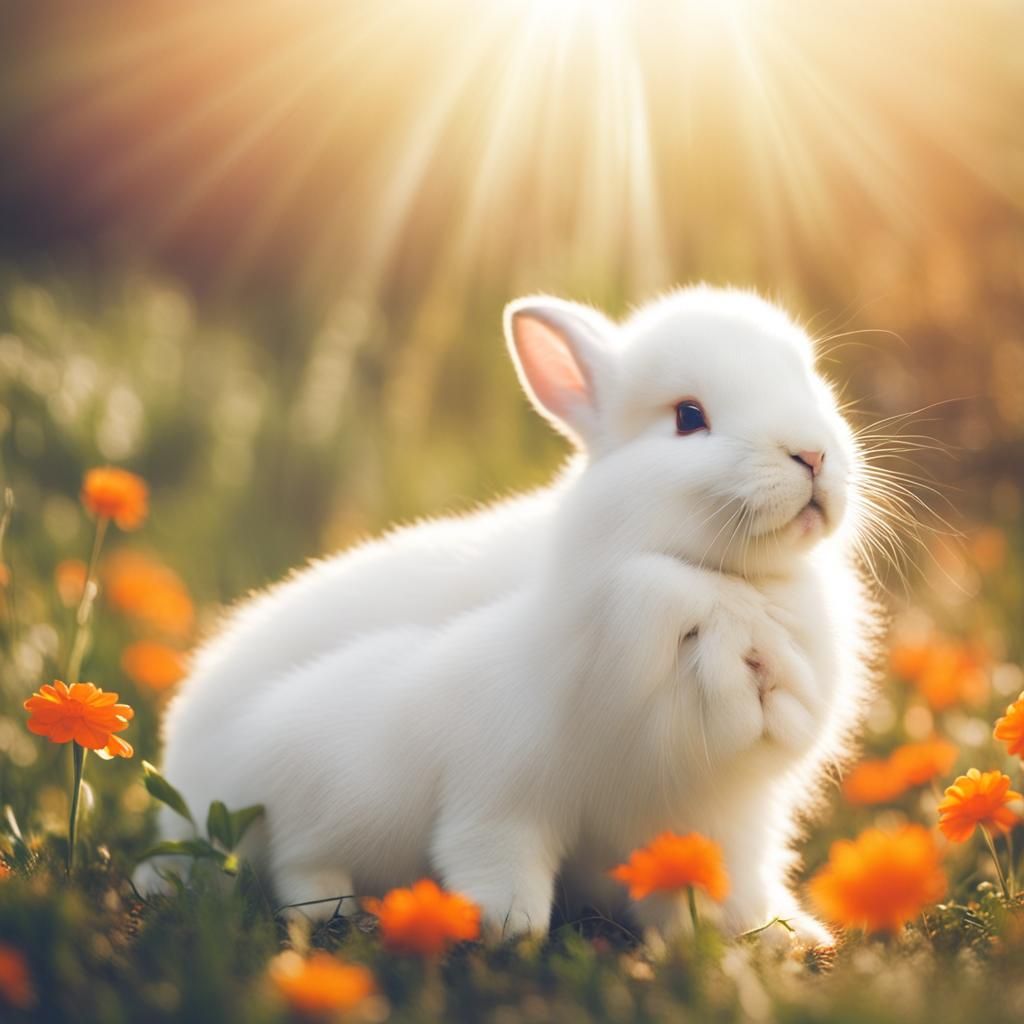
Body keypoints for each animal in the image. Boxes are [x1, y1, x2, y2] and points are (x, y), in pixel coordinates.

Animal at [141, 287, 875, 947]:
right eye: (689, 417)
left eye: (809, 381)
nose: (812, 454)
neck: (724, 583)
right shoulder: (499, 780)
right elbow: (495, 852)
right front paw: (507, 926)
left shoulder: (724, 816)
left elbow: (734, 885)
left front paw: (787, 937)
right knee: (297, 863)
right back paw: (339, 908)